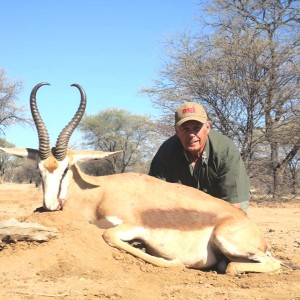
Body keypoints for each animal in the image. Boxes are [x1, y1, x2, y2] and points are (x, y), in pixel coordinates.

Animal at [0, 82, 284, 274]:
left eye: (66, 168)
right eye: (39, 170)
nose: (49, 206)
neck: (98, 193)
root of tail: (250, 226)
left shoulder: (132, 225)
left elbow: (109, 236)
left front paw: (174, 260)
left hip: (228, 241)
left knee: (264, 264)